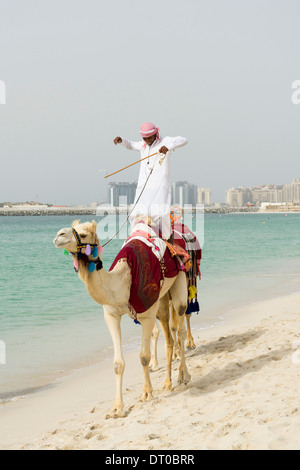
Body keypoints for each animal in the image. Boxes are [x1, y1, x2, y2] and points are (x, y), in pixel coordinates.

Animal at [53, 218, 190, 416]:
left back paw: (184, 375)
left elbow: (143, 357)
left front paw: (147, 393)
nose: (59, 235)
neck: (123, 281)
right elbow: (118, 364)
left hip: (180, 281)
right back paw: (167, 383)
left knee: (180, 330)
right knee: (169, 337)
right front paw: (117, 408)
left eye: (84, 234)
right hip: (162, 300)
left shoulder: (147, 314)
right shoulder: (111, 315)